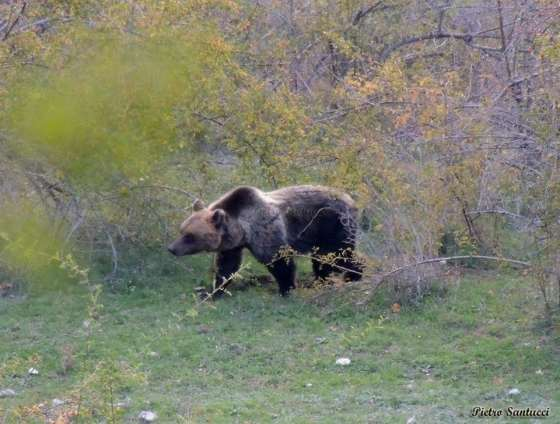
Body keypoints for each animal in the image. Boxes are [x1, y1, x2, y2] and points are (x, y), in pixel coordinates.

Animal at [167, 186, 364, 294]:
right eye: (182, 230)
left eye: (190, 236)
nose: (172, 248)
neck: (241, 228)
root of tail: (352, 200)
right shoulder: (232, 245)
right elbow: (227, 266)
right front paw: (215, 290)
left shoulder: (265, 230)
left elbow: (280, 263)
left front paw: (286, 289)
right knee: (323, 260)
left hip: (332, 224)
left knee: (336, 255)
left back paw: (353, 276)